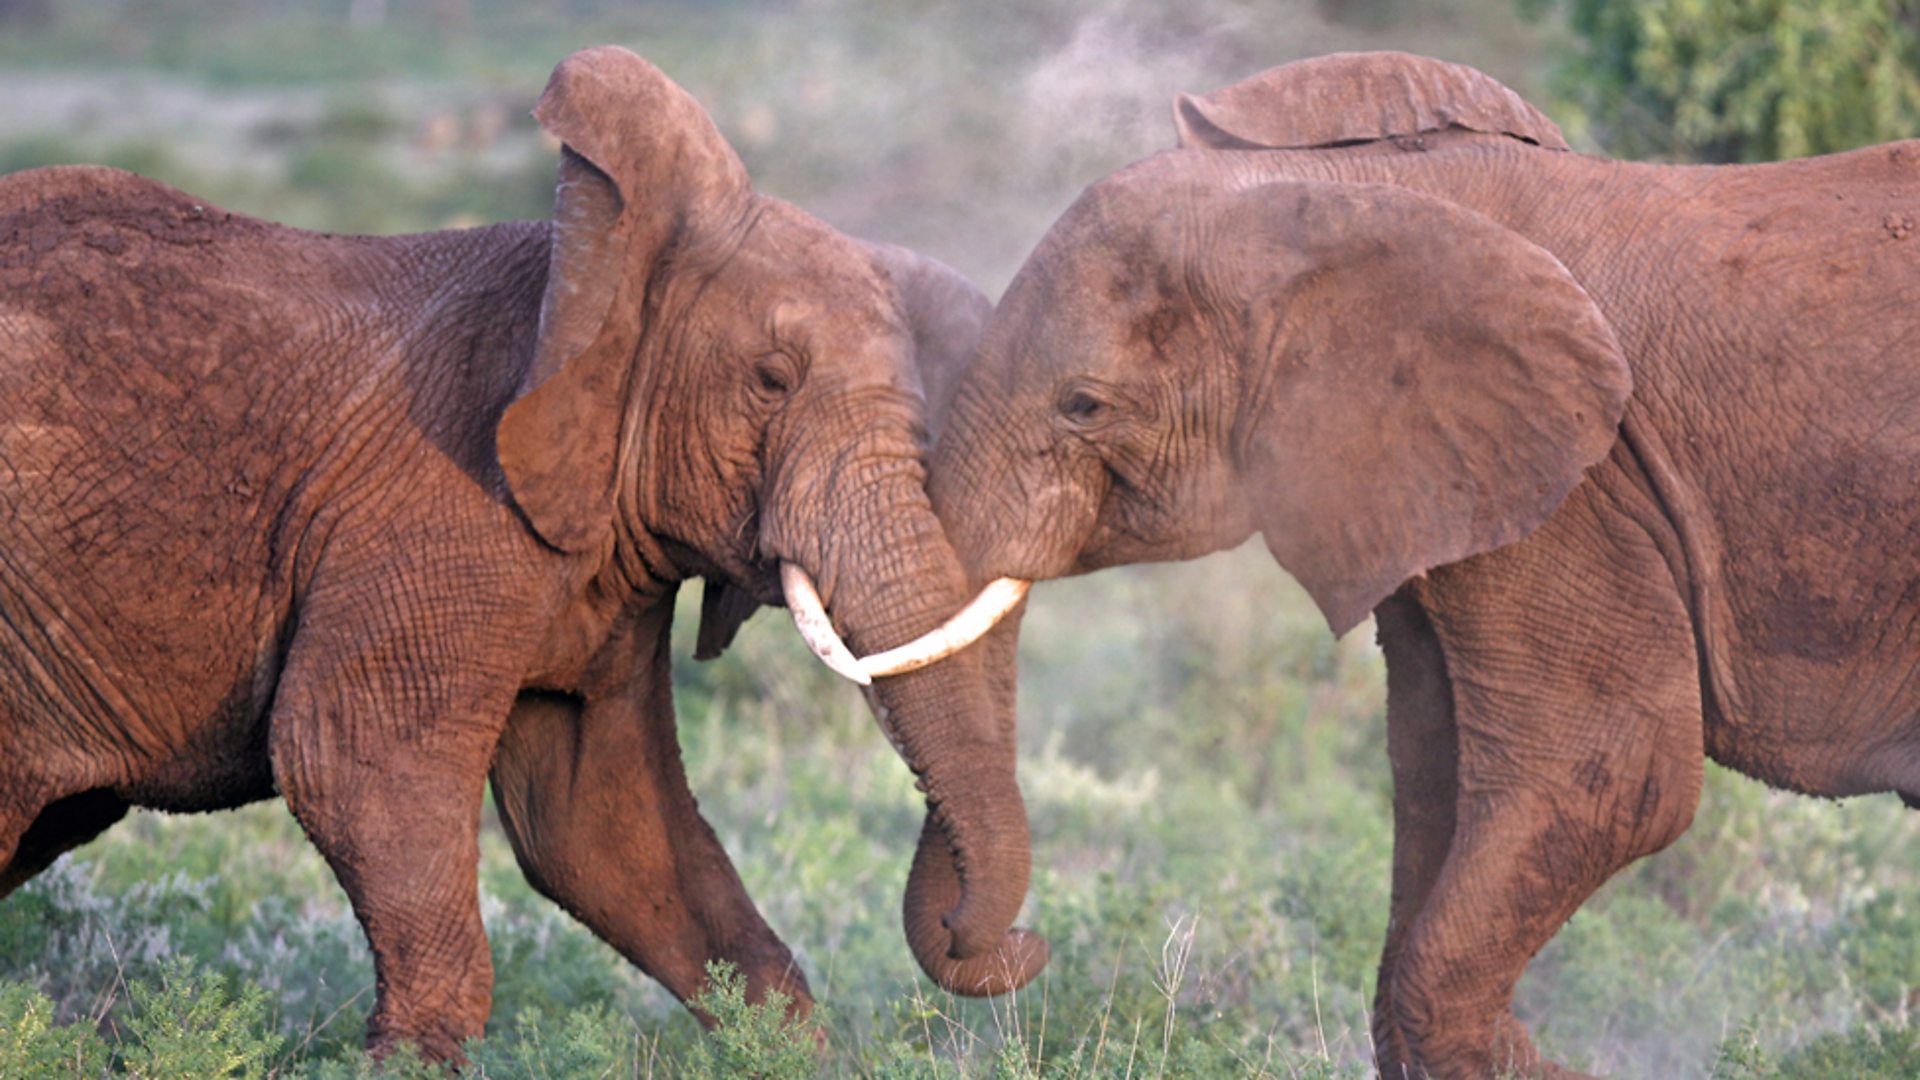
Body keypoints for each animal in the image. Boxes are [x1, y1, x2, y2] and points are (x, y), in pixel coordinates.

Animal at [0, 46, 1044, 1053]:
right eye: (772, 379)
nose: (1017, 944)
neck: (591, 274)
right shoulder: (439, 499)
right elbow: (349, 757)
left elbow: (599, 826)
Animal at [864, 48, 1912, 1076]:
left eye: (1082, 406)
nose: (1013, 943)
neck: (1342, 198)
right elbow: (1433, 776)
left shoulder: (1579, 489)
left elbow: (1614, 778)